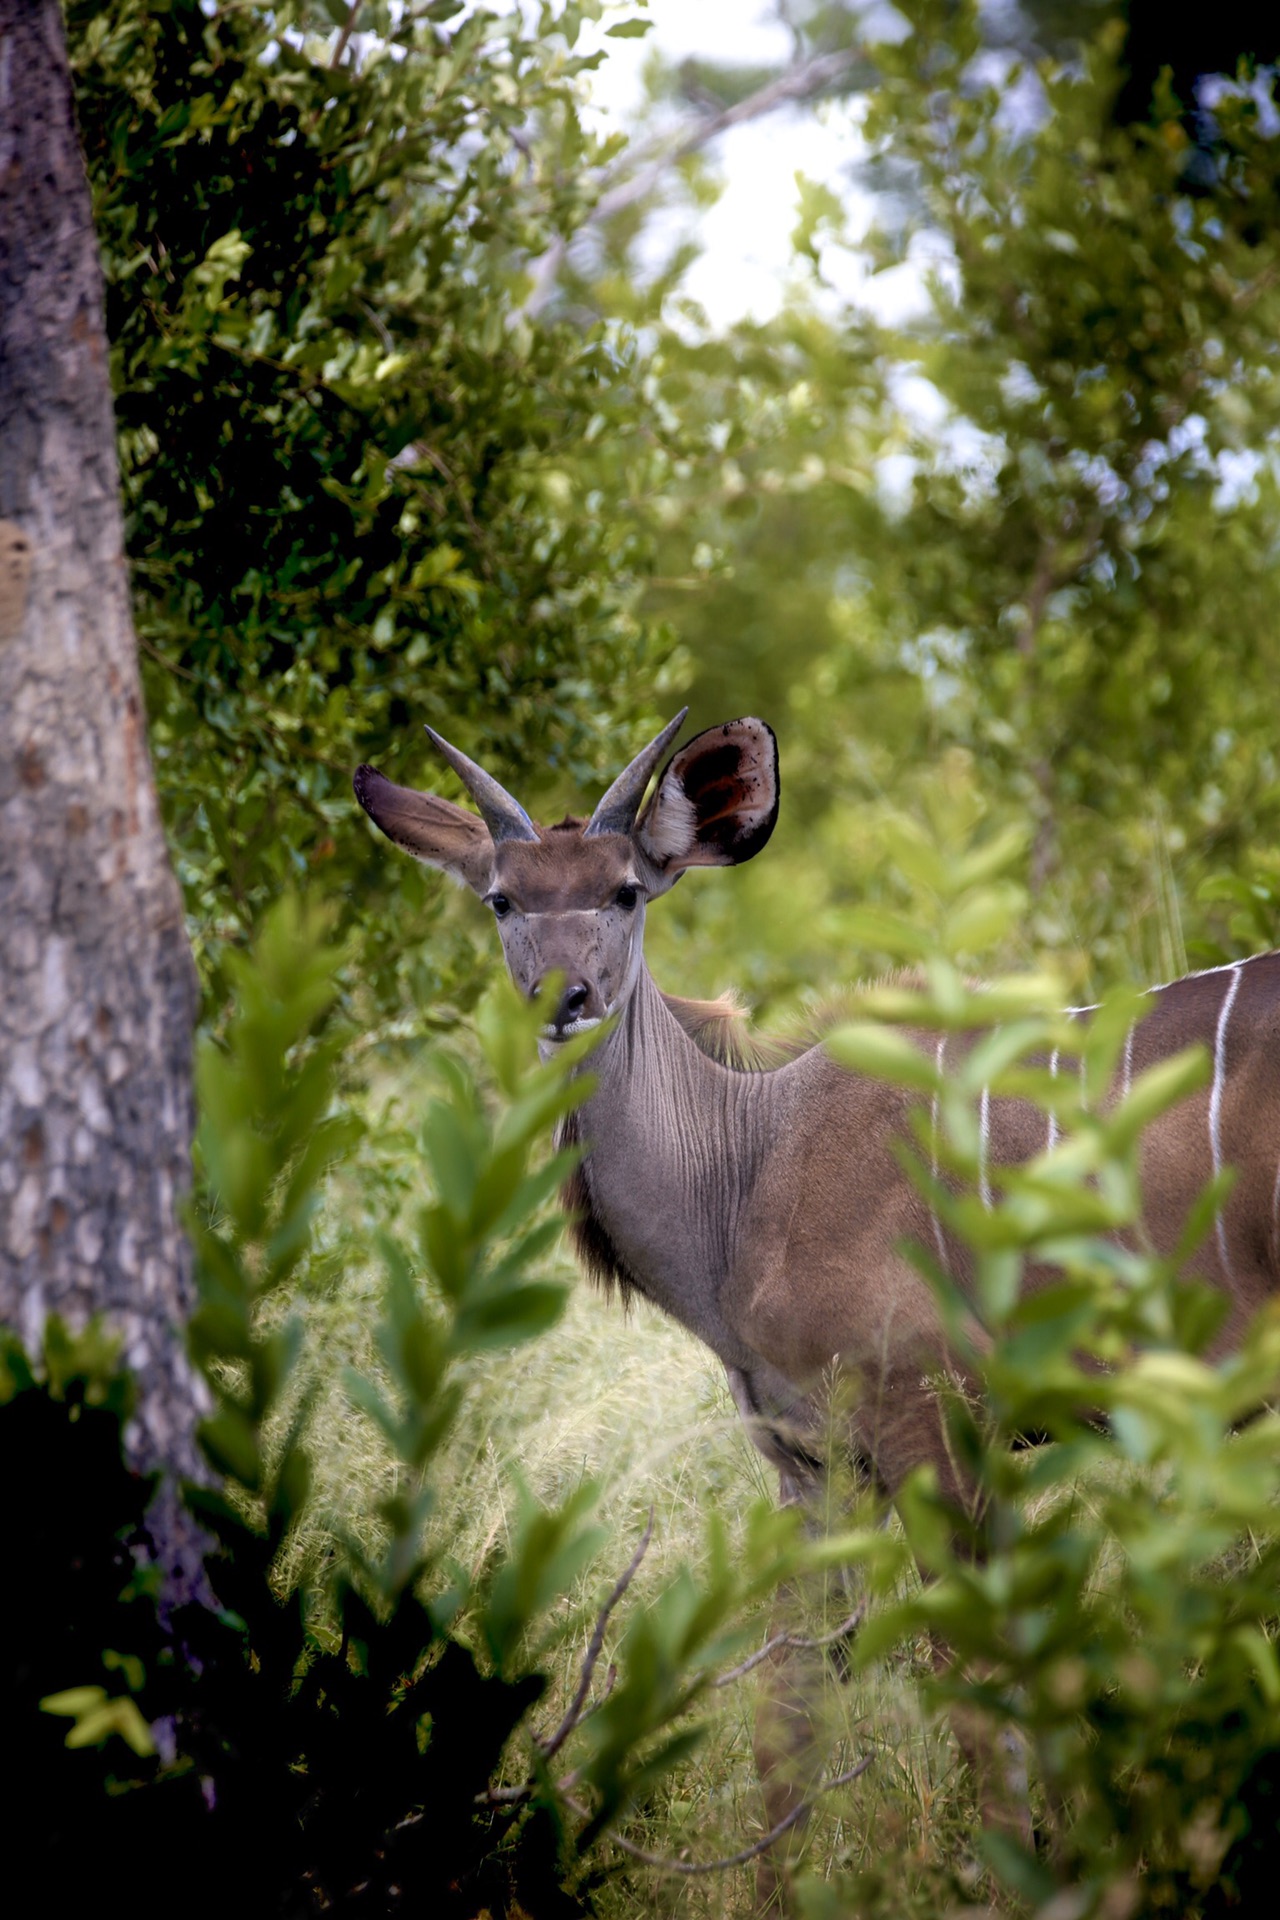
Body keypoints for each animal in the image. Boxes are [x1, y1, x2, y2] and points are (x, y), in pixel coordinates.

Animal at [355, 714, 1280, 1866]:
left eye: (625, 890)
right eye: (501, 900)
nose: (564, 1001)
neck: (749, 1170)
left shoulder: (928, 1422)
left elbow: (978, 1689)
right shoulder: (813, 1466)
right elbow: (792, 1716)